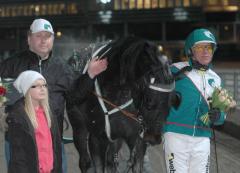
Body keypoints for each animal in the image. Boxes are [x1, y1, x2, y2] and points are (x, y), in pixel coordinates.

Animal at [66, 35, 175, 172]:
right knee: (85, 161)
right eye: (149, 101)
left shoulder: (136, 138)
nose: (154, 138)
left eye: (170, 103)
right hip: (78, 126)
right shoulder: (97, 138)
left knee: (111, 161)